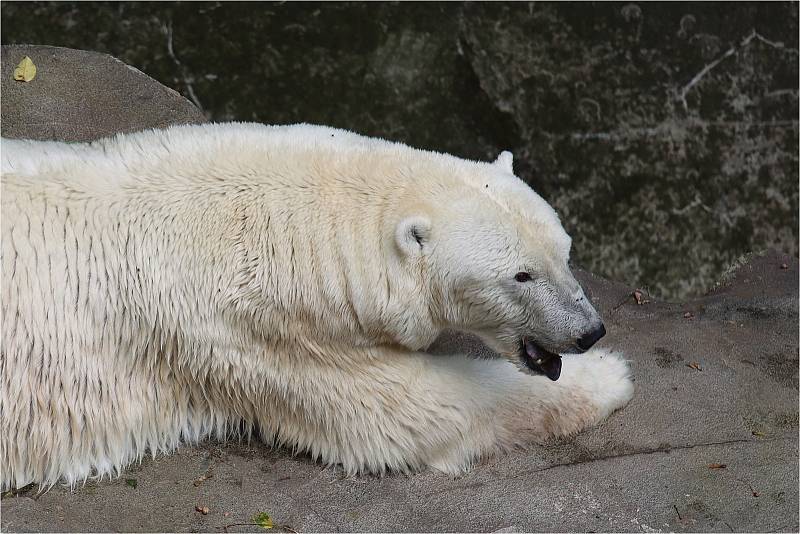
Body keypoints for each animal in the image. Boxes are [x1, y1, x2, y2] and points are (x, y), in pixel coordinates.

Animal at [1, 123, 632, 492]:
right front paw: (611, 377)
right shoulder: (250, 330)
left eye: (565, 253)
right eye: (520, 275)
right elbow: (411, 411)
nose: (589, 331)